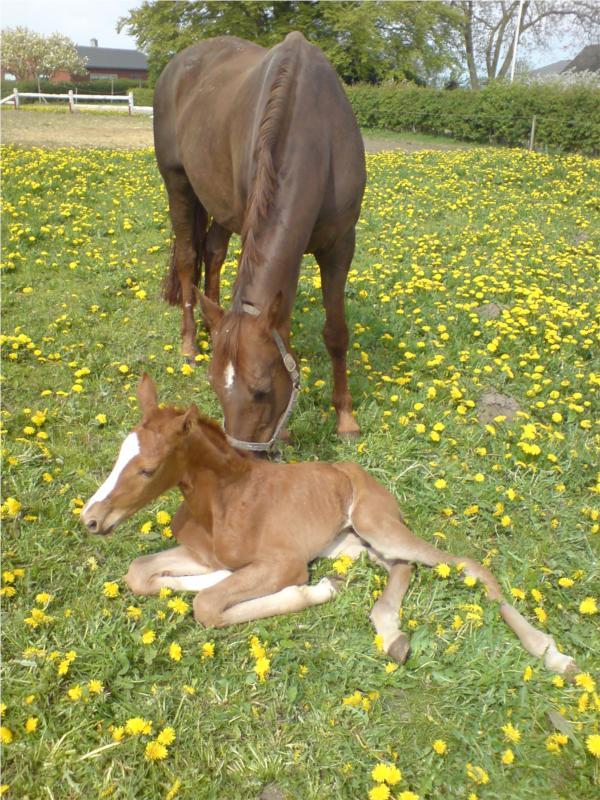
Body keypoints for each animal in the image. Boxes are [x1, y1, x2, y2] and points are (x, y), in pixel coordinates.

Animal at [82, 376, 580, 676]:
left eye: (147, 469)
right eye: (118, 454)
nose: (91, 519)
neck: (221, 503)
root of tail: (367, 479)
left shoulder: (284, 563)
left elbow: (208, 606)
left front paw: (314, 591)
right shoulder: (200, 554)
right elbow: (140, 574)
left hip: (376, 525)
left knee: (466, 564)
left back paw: (551, 654)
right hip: (354, 544)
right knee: (403, 569)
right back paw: (392, 636)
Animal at [152, 31, 366, 454]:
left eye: (262, 390)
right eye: (215, 389)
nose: (239, 456)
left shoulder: (340, 246)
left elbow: (336, 333)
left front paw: (346, 419)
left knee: (213, 253)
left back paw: (210, 323)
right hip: (178, 183)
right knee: (187, 259)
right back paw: (189, 342)